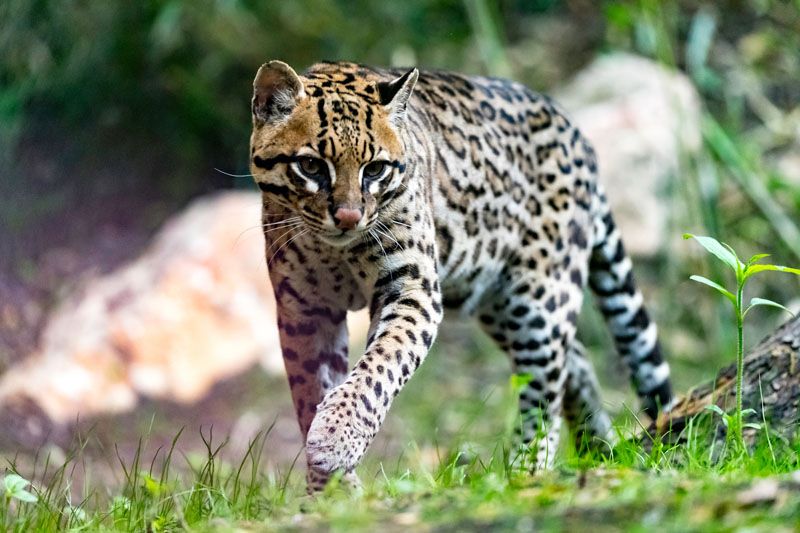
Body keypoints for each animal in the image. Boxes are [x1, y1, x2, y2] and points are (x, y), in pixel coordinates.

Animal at [247, 60, 672, 488]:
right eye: (311, 165)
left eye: (376, 169)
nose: (349, 218)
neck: (337, 250)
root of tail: (576, 132)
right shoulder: (305, 307)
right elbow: (311, 390)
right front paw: (333, 488)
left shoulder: (413, 290)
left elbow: (379, 368)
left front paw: (335, 440)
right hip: (494, 299)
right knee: (575, 358)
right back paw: (597, 447)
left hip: (537, 299)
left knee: (545, 387)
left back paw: (528, 471)